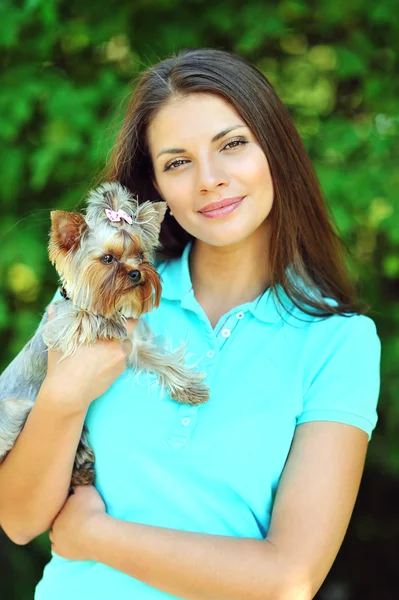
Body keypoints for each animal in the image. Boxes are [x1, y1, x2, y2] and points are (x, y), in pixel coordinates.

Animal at [0, 183, 211, 488]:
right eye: (108, 259)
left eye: (141, 256)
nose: (136, 273)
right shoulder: (60, 327)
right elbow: (85, 317)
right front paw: (108, 322)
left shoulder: (135, 346)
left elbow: (161, 359)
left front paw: (189, 387)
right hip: (10, 409)